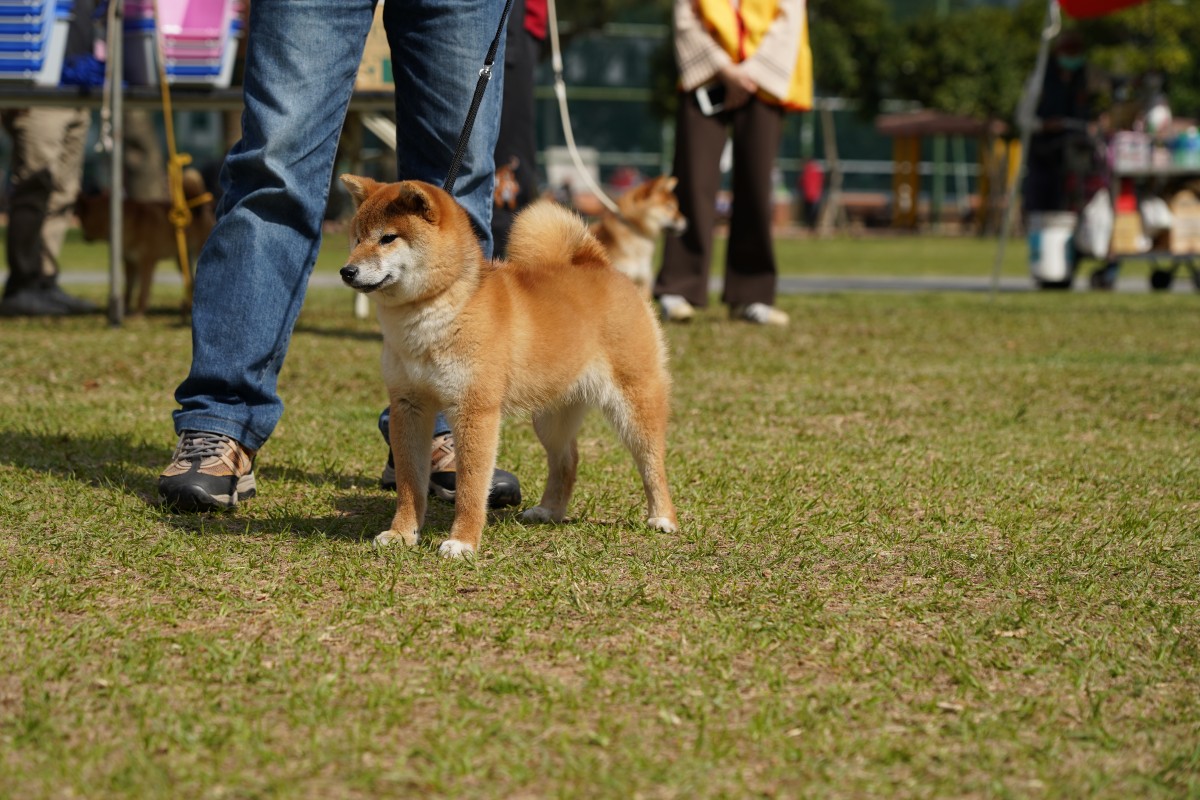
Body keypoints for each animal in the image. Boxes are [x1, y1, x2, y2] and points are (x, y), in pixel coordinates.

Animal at [76, 167, 216, 316]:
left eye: (83, 221)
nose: (84, 237)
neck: (124, 220)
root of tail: (201, 209)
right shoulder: (130, 263)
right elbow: (128, 290)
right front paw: (124, 309)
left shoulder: (147, 262)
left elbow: (143, 291)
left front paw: (138, 313)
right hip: (182, 260)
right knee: (192, 284)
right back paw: (186, 309)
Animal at [340, 178, 676, 561]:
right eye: (357, 238)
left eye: (388, 238)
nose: (346, 271)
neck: (436, 311)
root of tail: (600, 265)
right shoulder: (408, 406)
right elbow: (410, 483)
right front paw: (401, 533)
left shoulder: (475, 410)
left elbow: (471, 486)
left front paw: (463, 542)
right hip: (551, 417)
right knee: (567, 460)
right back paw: (549, 510)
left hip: (634, 401)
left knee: (652, 462)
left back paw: (663, 517)